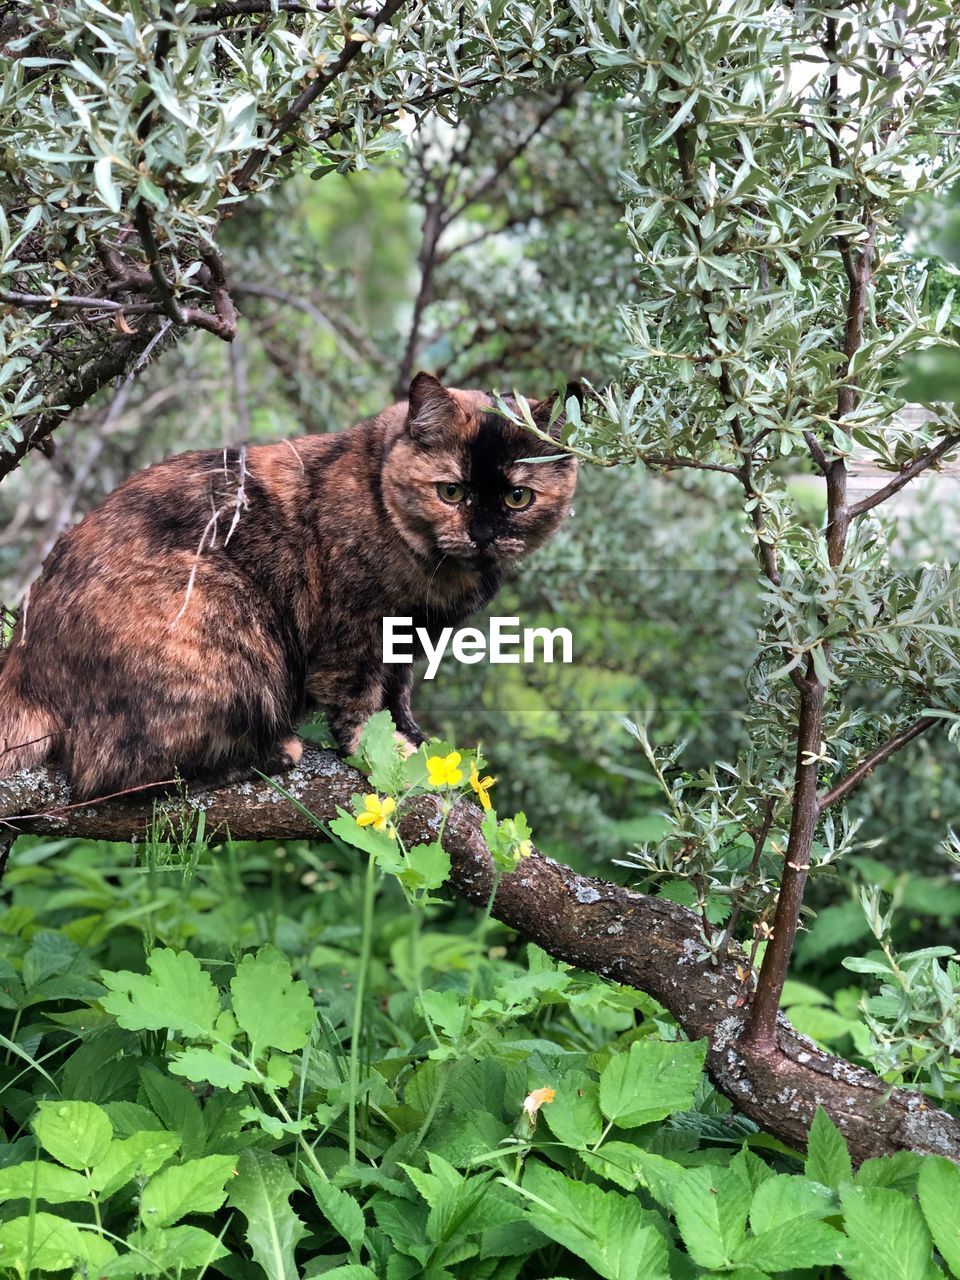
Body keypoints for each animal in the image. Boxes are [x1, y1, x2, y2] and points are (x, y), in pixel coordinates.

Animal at [0, 368, 578, 798]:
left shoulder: (408, 637)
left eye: (518, 498)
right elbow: (359, 701)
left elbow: (399, 691)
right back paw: (271, 754)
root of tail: (23, 660)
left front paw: (413, 736)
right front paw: (381, 752)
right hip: (228, 624)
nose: (482, 535)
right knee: (105, 776)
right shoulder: (353, 631)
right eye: (451, 491)